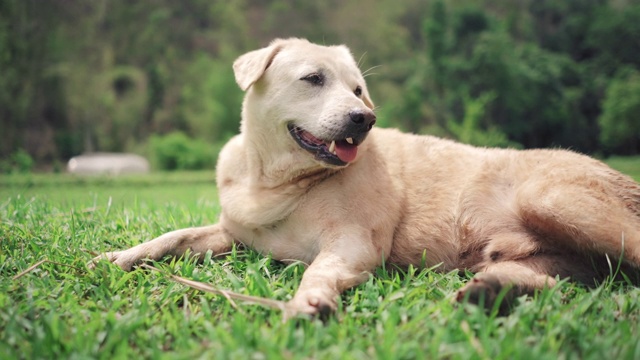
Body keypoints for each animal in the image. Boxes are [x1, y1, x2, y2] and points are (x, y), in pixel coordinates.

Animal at [94, 38, 640, 318]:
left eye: (358, 90)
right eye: (313, 79)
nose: (365, 119)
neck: (280, 183)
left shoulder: (353, 244)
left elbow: (318, 270)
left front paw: (310, 300)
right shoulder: (232, 233)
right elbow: (175, 235)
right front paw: (119, 256)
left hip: (555, 200)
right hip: (547, 253)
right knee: (561, 283)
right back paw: (493, 292)